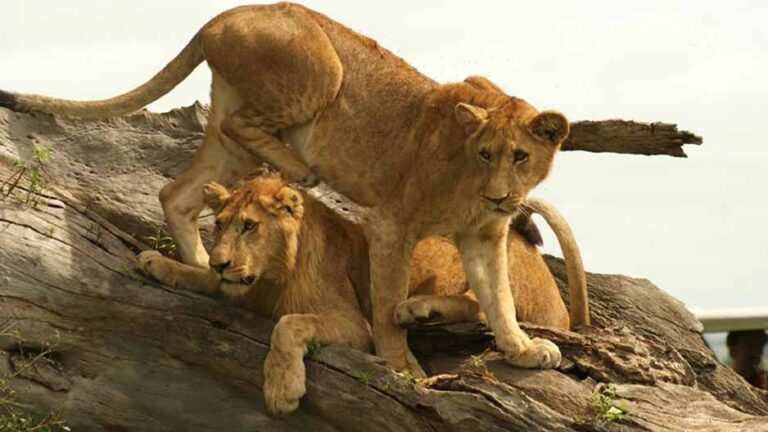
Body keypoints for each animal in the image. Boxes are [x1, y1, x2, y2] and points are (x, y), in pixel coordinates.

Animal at [1, 2, 579, 375]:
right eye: (486, 153)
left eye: (520, 156)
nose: (502, 196)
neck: (468, 180)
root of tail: (218, 18)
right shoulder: (389, 225)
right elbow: (387, 300)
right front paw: (402, 366)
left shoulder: (485, 237)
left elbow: (499, 298)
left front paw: (521, 349)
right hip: (322, 71)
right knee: (238, 129)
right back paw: (297, 170)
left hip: (235, 129)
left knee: (179, 191)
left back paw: (202, 268)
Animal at [135, 174, 588, 415]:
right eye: (220, 224)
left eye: (249, 226)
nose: (221, 262)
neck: (272, 275)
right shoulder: (240, 287)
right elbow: (204, 279)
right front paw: (159, 263)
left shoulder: (355, 324)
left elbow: (288, 325)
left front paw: (282, 389)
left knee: (485, 308)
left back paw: (416, 309)